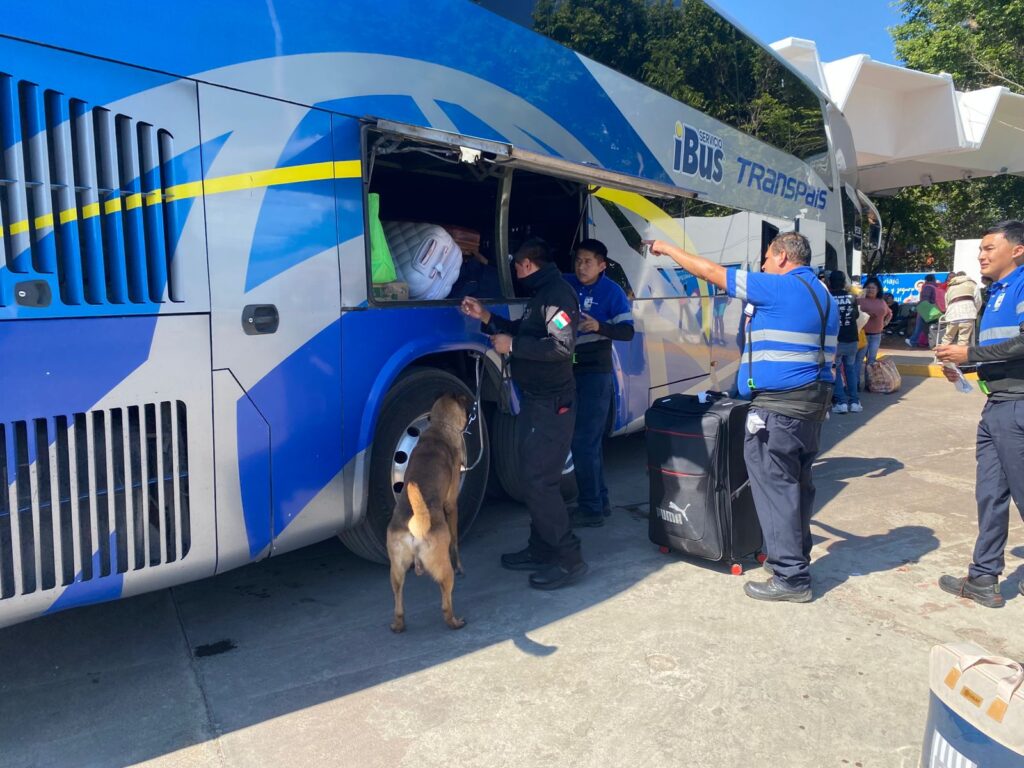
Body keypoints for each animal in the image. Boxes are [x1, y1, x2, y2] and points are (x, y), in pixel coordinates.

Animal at [386, 392, 471, 633]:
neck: (439, 428)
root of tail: (416, 525)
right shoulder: (451, 504)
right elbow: (455, 541)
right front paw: (461, 564)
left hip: (396, 570)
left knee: (398, 603)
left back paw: (398, 625)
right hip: (444, 571)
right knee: (445, 603)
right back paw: (454, 622)